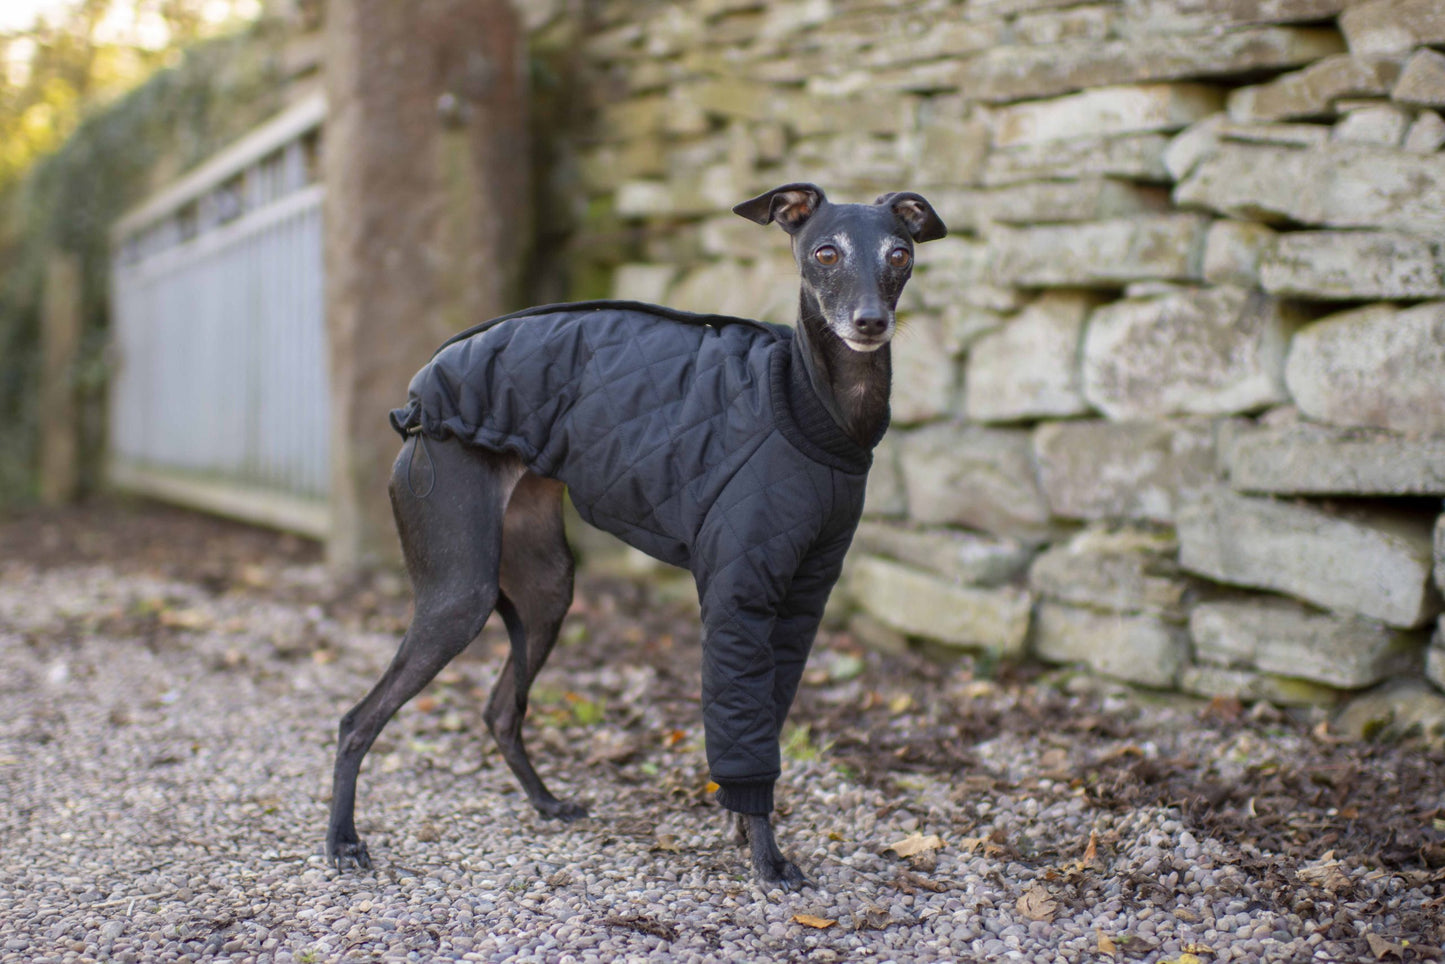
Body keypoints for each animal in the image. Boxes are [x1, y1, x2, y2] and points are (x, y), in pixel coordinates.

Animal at [330, 182, 947, 890]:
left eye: (900, 254)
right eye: (825, 252)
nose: (870, 323)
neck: (817, 409)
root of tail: (417, 398)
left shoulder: (802, 599)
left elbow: (764, 718)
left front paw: (742, 829)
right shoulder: (738, 595)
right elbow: (741, 731)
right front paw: (767, 859)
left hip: (545, 589)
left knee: (501, 709)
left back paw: (545, 802)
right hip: (459, 591)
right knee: (357, 720)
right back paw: (343, 841)